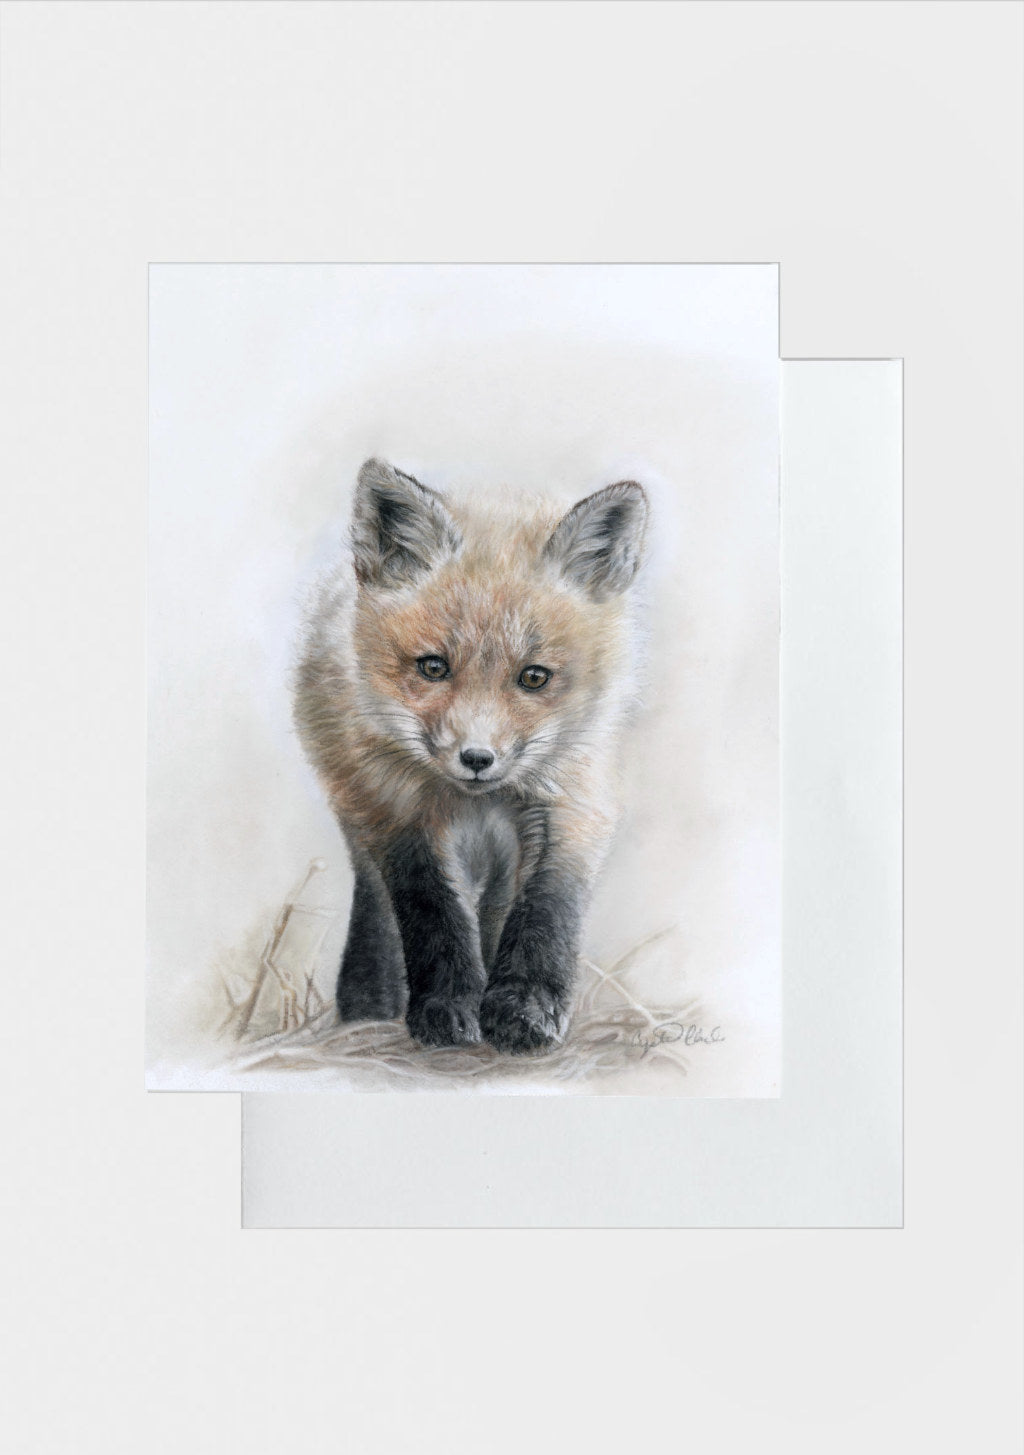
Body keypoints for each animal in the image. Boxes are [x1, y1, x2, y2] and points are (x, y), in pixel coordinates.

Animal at [293, 457, 648, 1054]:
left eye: (534, 677)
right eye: (433, 667)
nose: (477, 758)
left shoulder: (572, 801)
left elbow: (546, 912)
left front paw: (523, 1008)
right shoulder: (400, 813)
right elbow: (432, 913)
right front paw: (447, 1007)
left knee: (497, 906)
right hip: (357, 801)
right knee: (378, 905)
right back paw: (369, 1005)